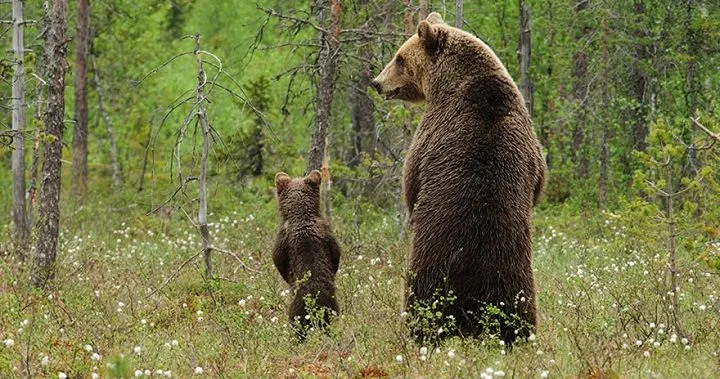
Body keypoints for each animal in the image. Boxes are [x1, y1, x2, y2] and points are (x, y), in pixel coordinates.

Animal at [272, 171, 342, 340]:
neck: (300, 215)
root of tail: (315, 308)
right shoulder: (327, 233)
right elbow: (336, 253)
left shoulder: (282, 239)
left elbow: (278, 260)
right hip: (332, 309)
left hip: (297, 312)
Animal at [372, 12, 544, 344]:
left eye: (399, 58)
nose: (376, 82)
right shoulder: (529, 139)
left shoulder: (432, 130)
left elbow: (411, 179)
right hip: (514, 273)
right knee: (520, 307)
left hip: (432, 264)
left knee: (421, 298)